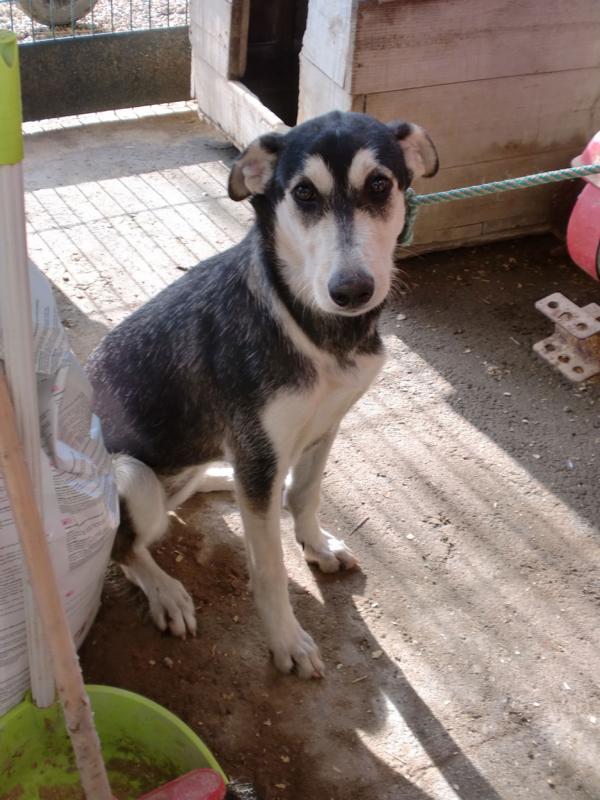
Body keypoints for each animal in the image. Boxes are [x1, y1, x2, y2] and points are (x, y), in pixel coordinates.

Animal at [86, 110, 438, 679]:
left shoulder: (323, 426)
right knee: (126, 547)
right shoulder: (259, 448)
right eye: (304, 193)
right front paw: (287, 640)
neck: (311, 325)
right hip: (131, 475)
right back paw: (165, 590)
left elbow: (306, 493)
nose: (352, 291)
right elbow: (270, 568)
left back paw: (220, 479)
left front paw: (315, 544)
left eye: (380, 185)